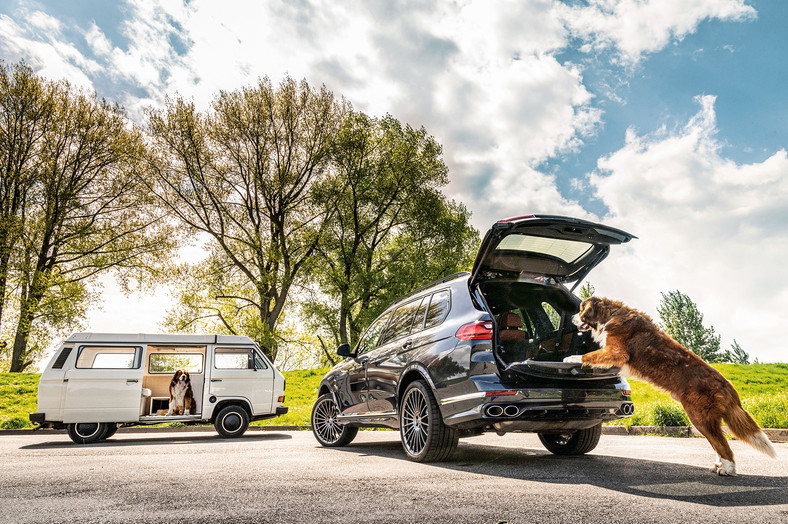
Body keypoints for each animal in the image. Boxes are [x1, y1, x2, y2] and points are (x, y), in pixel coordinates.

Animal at [568, 296, 776, 476]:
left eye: (581, 309)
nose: (571, 318)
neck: (611, 314)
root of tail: (727, 385)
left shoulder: (616, 351)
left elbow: (589, 355)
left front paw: (571, 358)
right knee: (718, 443)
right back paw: (719, 465)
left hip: (699, 416)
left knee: (722, 444)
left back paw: (727, 469)